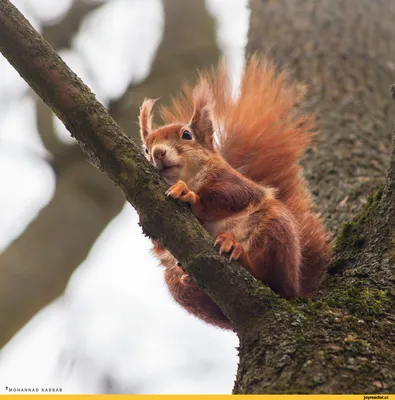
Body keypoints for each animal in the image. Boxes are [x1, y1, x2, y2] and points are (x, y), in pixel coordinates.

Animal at [139, 57, 334, 332]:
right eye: (146, 149)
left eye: (187, 135)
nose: (157, 153)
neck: (189, 176)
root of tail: (299, 288)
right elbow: (158, 241)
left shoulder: (235, 182)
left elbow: (231, 196)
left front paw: (189, 195)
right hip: (175, 283)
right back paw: (192, 280)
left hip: (276, 230)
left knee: (273, 282)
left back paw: (240, 254)